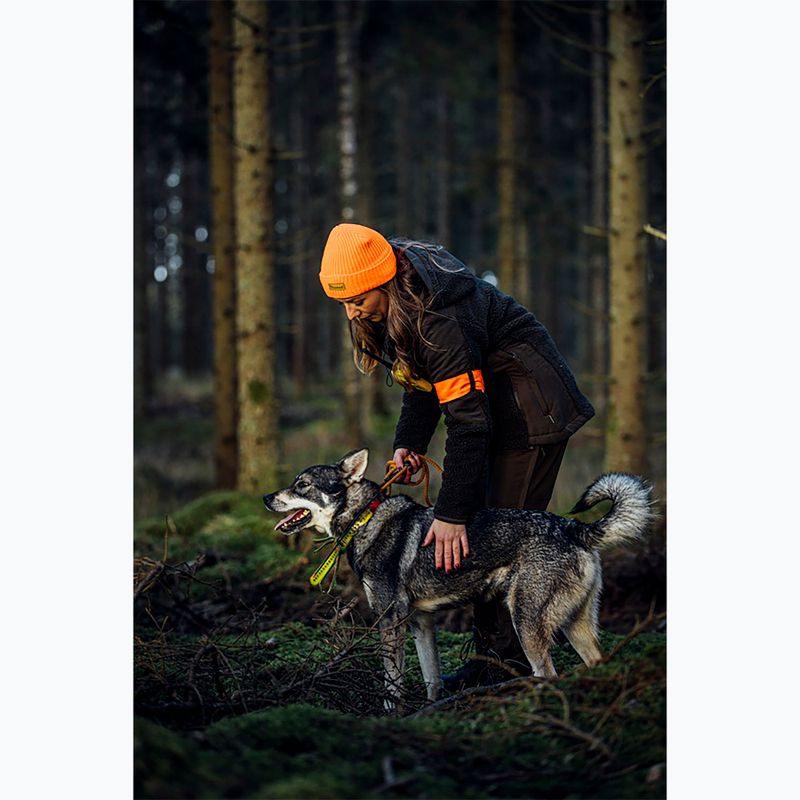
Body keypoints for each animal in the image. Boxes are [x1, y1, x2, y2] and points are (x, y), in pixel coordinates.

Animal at [266, 450, 652, 708]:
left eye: (302, 484)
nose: (266, 496)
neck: (365, 519)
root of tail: (574, 528)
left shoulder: (390, 620)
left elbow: (392, 683)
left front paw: (391, 715)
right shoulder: (420, 621)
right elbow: (431, 676)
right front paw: (428, 710)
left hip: (527, 622)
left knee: (548, 675)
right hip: (575, 625)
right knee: (595, 663)